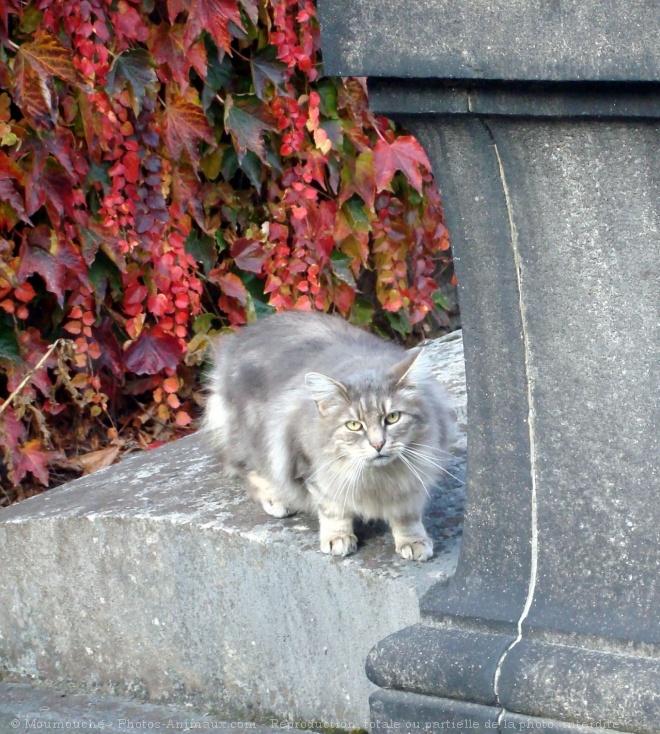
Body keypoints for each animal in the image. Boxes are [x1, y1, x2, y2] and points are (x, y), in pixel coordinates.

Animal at [206, 312, 454, 564]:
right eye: (354, 425)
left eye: (392, 418)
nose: (378, 444)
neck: (378, 479)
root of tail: (235, 341)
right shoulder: (310, 466)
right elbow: (332, 508)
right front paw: (338, 537)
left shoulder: (414, 479)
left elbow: (407, 515)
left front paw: (413, 540)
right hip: (252, 439)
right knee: (246, 469)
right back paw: (277, 498)